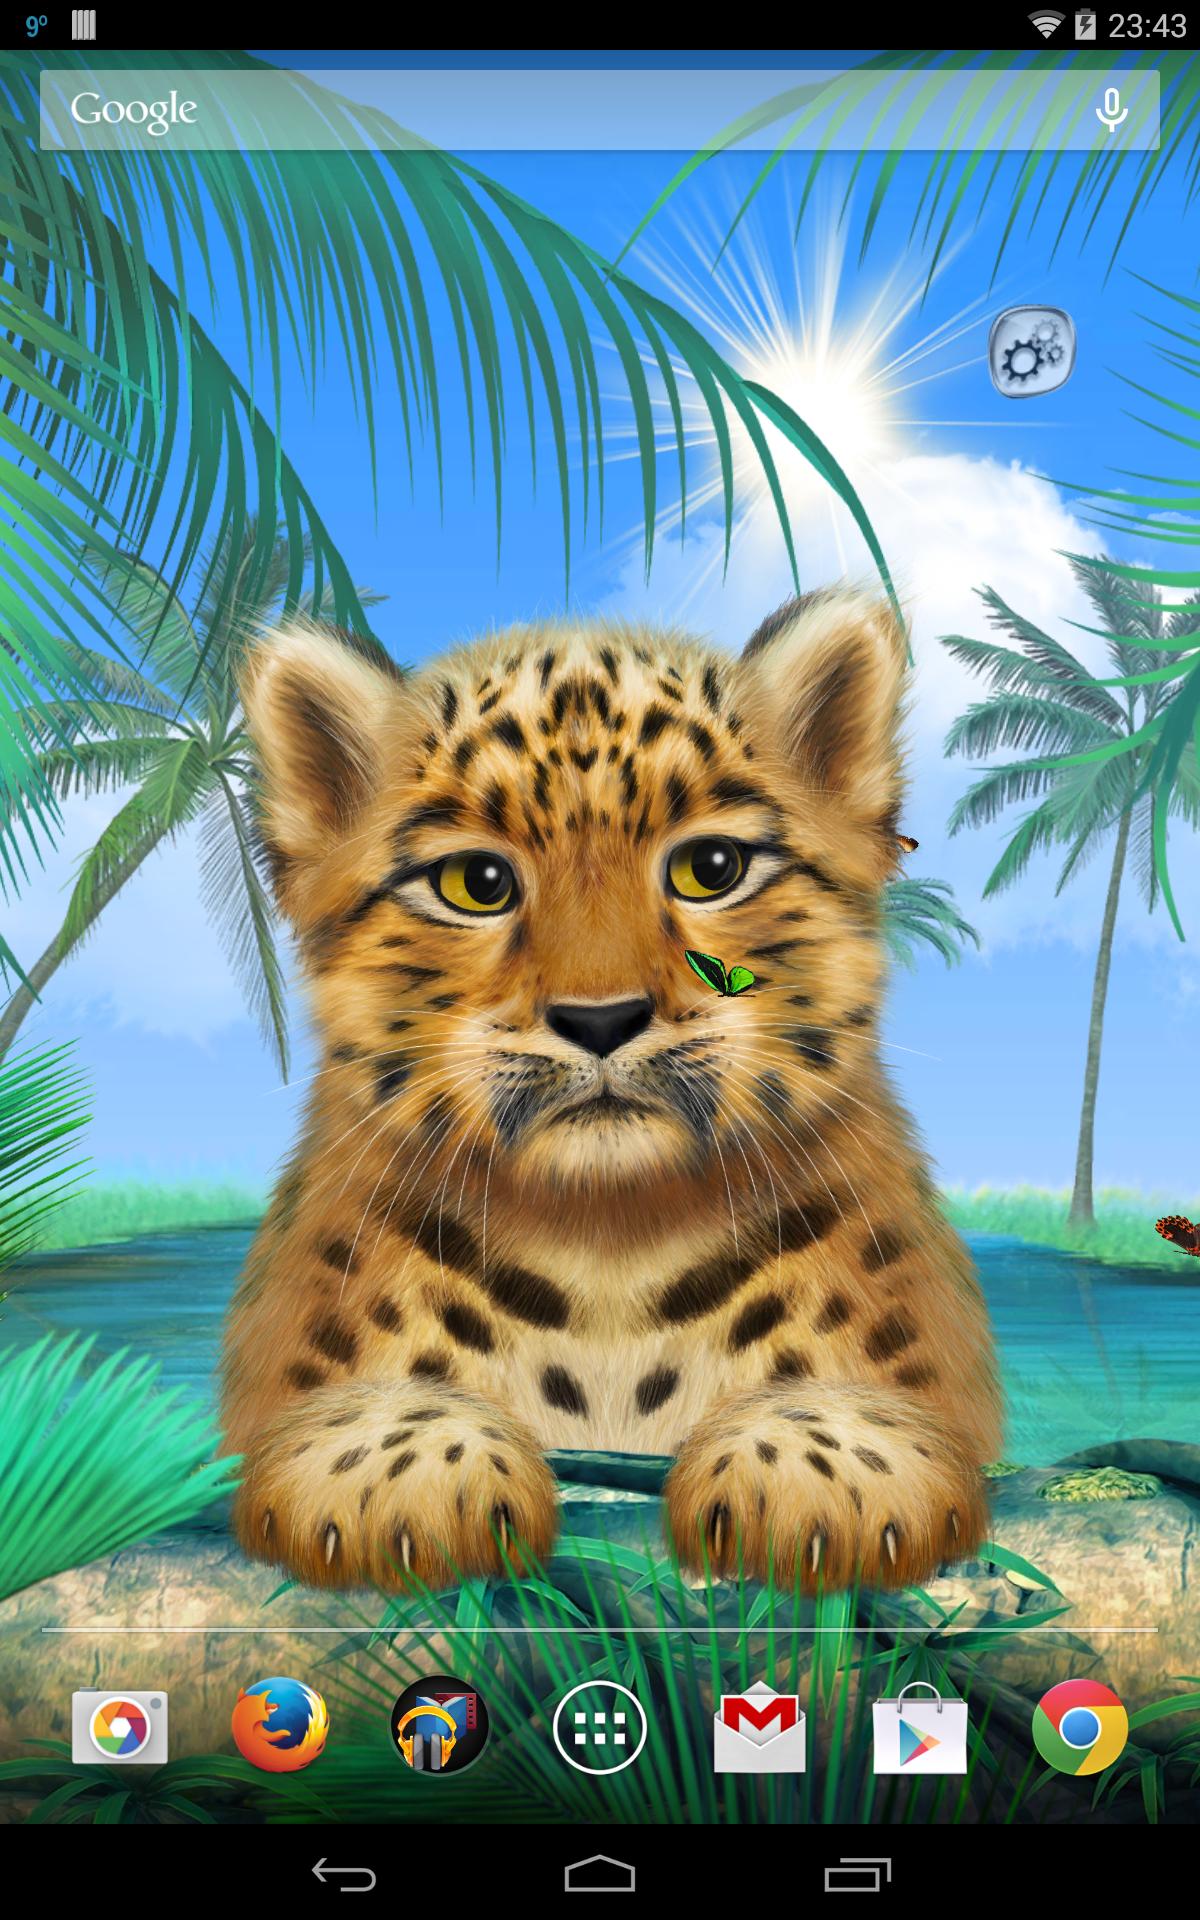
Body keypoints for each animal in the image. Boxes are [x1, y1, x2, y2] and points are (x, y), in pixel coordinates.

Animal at [220, 588, 1002, 1593]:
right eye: (476, 884)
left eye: (712, 869)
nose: (601, 1019)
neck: (608, 1244)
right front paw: (398, 1471)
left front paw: (823, 1466)